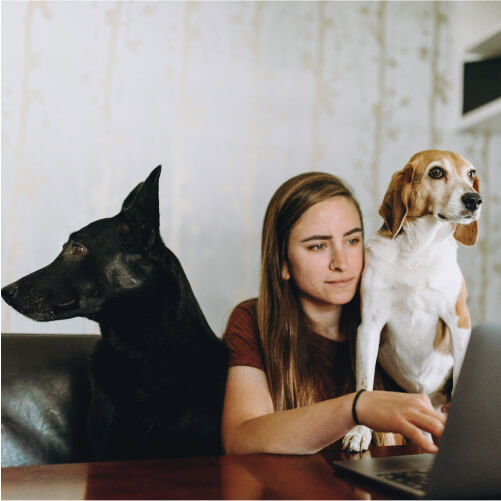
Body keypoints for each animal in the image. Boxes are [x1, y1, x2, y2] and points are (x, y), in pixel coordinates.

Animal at [344, 150, 480, 452]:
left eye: (470, 174)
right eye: (437, 172)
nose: (475, 200)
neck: (419, 250)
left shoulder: (460, 323)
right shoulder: (368, 327)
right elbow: (364, 384)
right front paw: (360, 432)